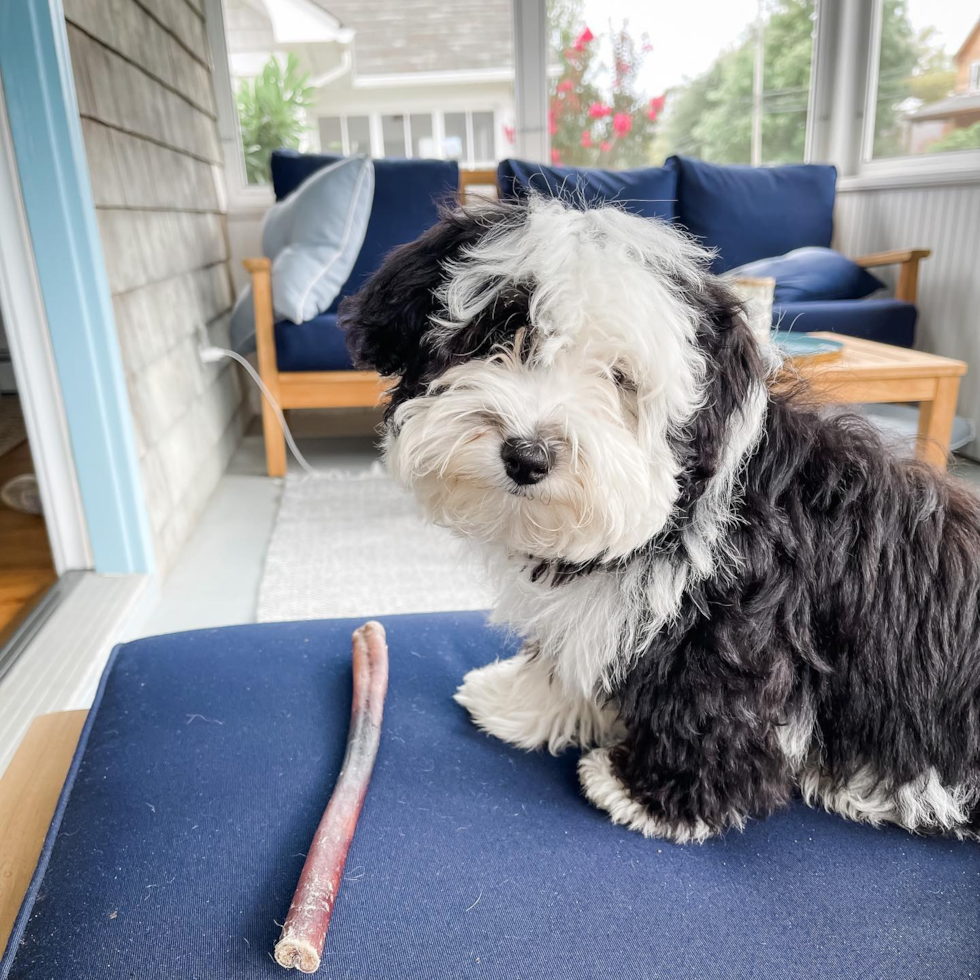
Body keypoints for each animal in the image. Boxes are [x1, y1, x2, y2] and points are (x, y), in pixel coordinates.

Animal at [338, 197, 980, 844]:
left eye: (620, 377)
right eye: (502, 332)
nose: (527, 455)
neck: (687, 506)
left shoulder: (739, 624)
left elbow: (715, 700)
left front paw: (651, 795)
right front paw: (524, 702)